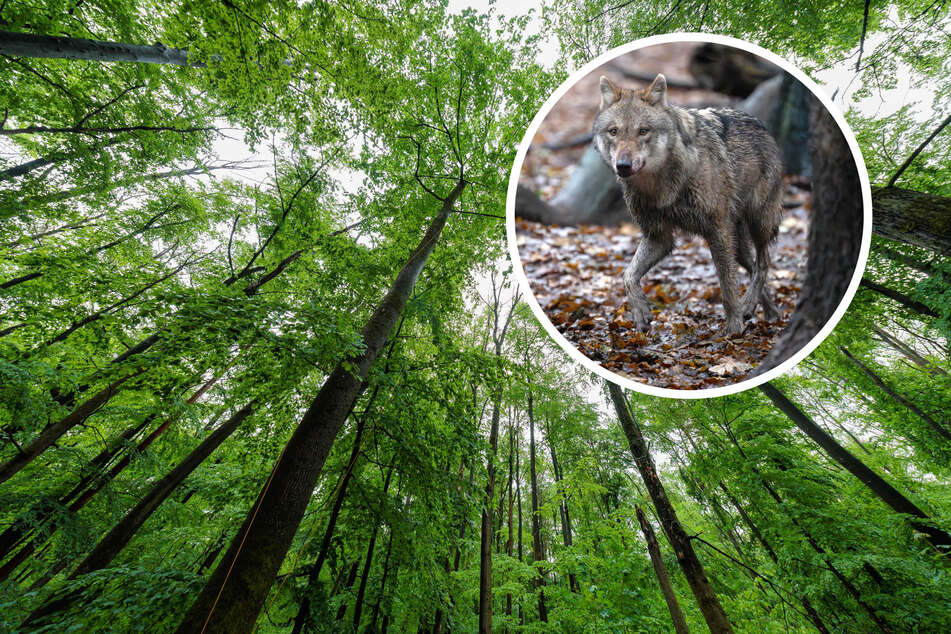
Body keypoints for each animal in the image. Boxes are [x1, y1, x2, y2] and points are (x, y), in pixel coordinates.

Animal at [594, 74, 783, 336]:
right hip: (738, 244)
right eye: (613, 132)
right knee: (753, 266)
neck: (661, 186)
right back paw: (767, 312)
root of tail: (761, 125)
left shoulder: (717, 231)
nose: (623, 166)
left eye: (643, 131)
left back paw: (749, 307)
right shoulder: (658, 237)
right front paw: (641, 314)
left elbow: (727, 288)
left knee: (763, 263)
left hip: (758, 223)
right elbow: (628, 275)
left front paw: (734, 329)